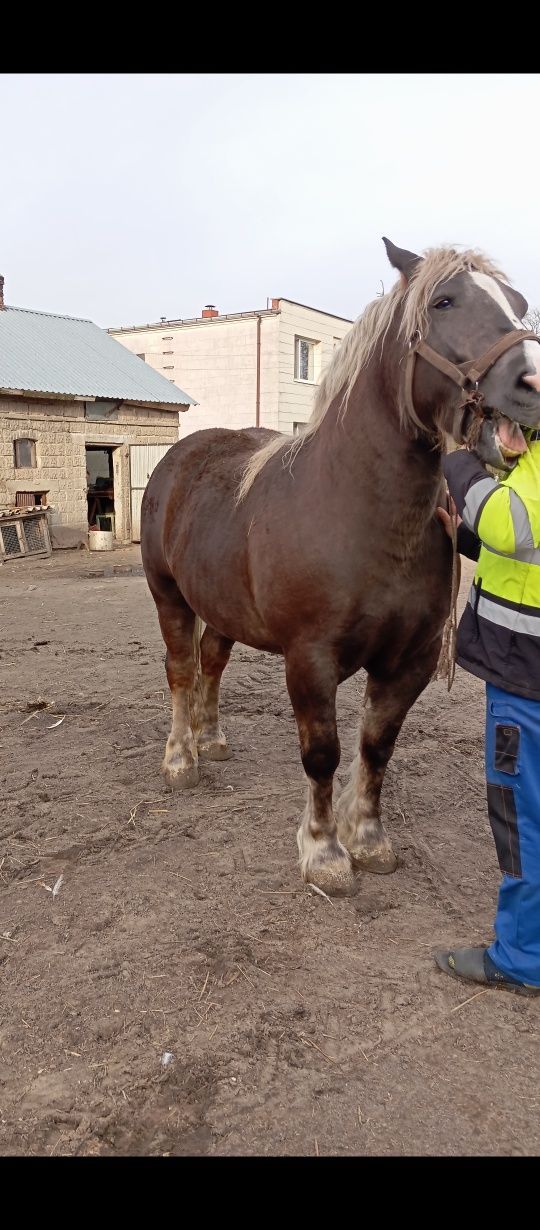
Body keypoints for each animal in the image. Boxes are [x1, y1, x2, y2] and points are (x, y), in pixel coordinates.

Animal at [140, 237, 540, 895]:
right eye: (444, 301)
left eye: (519, 303)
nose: (533, 381)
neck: (363, 517)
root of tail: (181, 456)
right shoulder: (311, 659)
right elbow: (323, 754)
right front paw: (325, 853)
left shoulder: (410, 661)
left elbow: (377, 747)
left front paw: (369, 841)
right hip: (168, 594)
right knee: (180, 671)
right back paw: (180, 759)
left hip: (220, 607)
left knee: (211, 664)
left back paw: (212, 738)